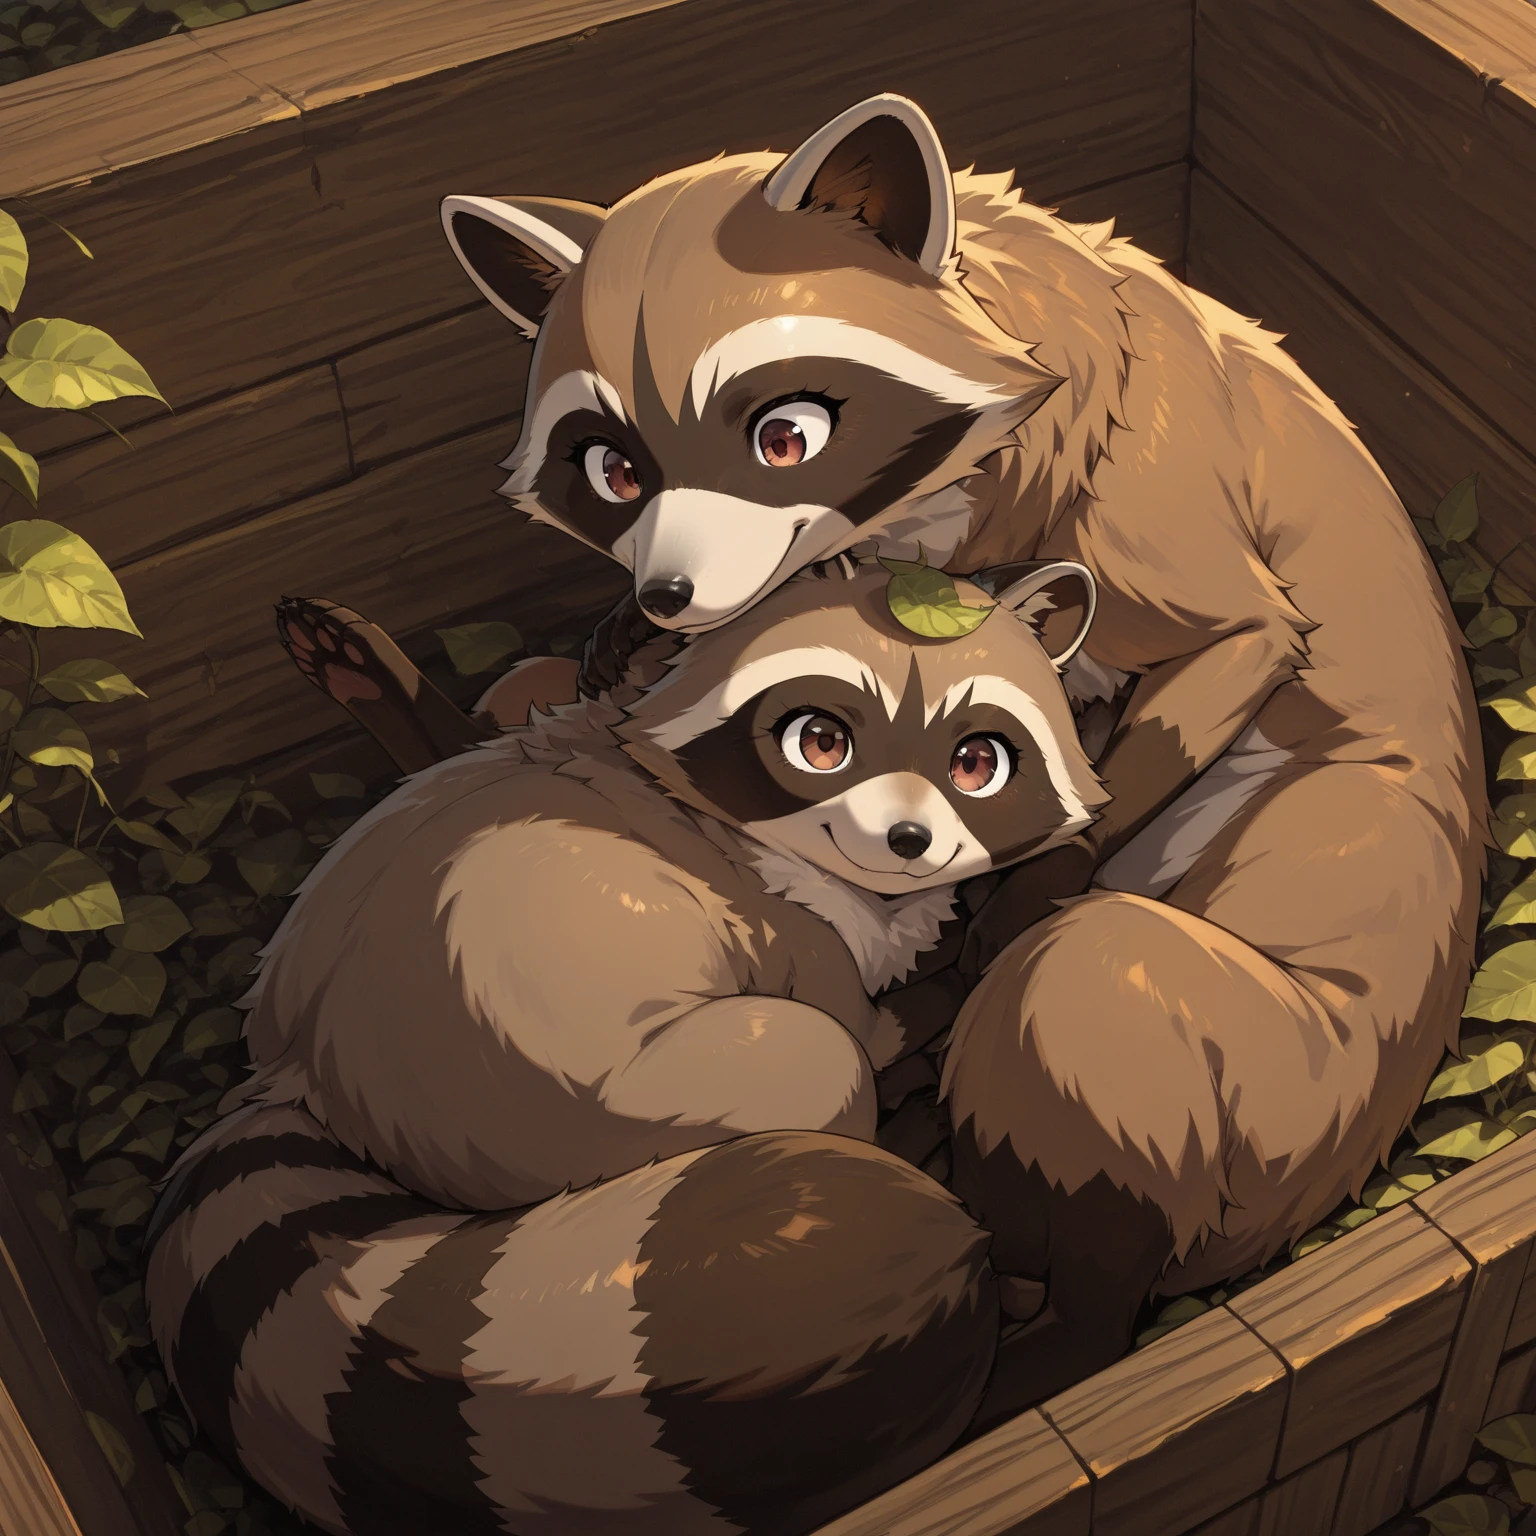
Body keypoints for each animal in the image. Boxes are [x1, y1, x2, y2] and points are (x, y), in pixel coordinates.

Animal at [145, 555, 1105, 1536]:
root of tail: (305, 1071)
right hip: (611, 1095)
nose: (908, 843)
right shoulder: (796, 933)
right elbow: (862, 1027)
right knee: (827, 1066)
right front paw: (935, 992)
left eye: (976, 762)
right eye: (820, 743)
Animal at [426, 93, 1487, 1423]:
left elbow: (1144, 740)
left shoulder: (1187, 560)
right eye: (616, 469)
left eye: (785, 438)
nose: (666, 599)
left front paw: (1010, 889)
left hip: (1194, 1028)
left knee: (1081, 1074)